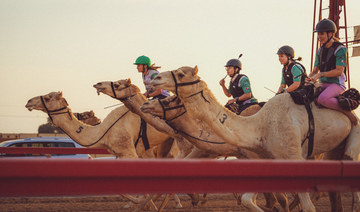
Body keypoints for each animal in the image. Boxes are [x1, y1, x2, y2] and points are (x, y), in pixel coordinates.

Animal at [151, 65, 360, 211]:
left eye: (180, 74)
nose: (155, 78)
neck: (260, 127)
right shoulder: (267, 160)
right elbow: (249, 199)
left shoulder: (293, 156)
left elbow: (305, 206)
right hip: (334, 148)